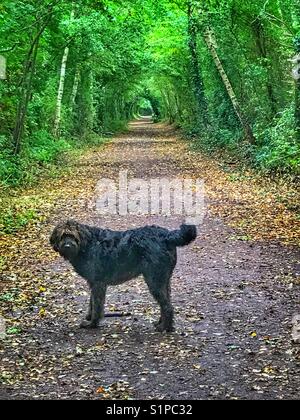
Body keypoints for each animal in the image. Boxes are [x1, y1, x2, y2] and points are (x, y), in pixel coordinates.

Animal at [49, 220, 197, 332]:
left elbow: (97, 305)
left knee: (167, 306)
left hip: (154, 280)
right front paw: (89, 318)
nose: (68, 246)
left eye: (73, 236)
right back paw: (164, 324)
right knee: (166, 303)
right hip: (163, 280)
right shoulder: (93, 283)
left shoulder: (98, 283)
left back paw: (163, 327)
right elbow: (91, 303)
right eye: (62, 236)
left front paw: (92, 323)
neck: (87, 244)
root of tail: (167, 236)